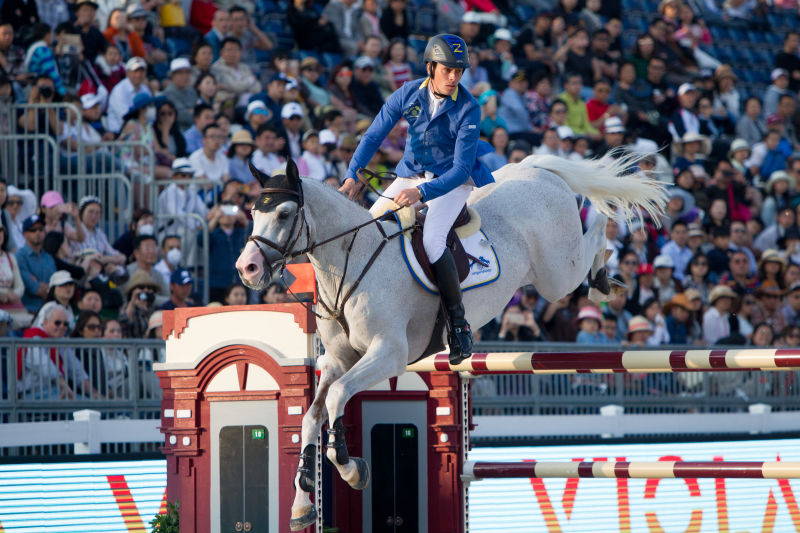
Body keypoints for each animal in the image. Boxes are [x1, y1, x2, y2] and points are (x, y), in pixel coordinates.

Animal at [234, 153, 664, 528]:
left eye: (284, 214)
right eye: (254, 213)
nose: (247, 268)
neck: (348, 263)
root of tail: (534, 168)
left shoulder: (389, 354)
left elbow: (338, 397)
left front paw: (351, 469)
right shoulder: (341, 359)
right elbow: (311, 416)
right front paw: (303, 503)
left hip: (557, 274)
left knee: (594, 239)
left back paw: (605, 263)